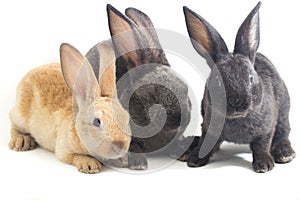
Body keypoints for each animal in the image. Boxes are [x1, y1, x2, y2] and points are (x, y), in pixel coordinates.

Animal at [8, 41, 131, 173]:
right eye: (97, 122)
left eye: (126, 119)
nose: (120, 145)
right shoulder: (63, 150)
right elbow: (73, 156)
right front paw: (90, 165)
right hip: (20, 117)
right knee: (13, 123)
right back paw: (21, 141)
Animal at [180, 1, 296, 173]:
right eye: (217, 81)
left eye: (250, 78)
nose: (237, 102)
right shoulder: (209, 128)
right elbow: (207, 144)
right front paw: (195, 159)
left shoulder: (266, 129)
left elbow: (262, 145)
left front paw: (264, 165)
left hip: (283, 113)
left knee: (283, 133)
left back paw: (285, 154)